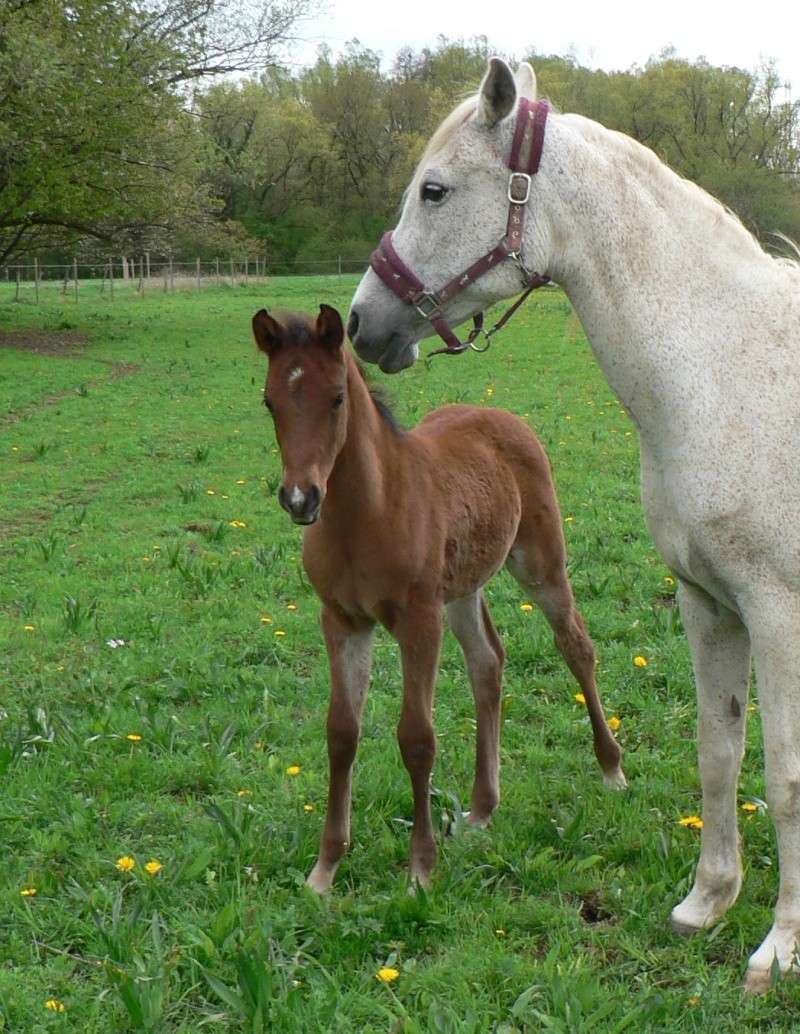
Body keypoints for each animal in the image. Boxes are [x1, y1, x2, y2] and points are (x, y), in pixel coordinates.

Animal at [252, 301, 628, 893]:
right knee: (487, 664)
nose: (299, 498)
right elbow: (341, 733)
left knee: (576, 646)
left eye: (337, 397)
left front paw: (420, 869)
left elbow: (417, 738)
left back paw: (611, 767)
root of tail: (497, 415)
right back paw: (482, 806)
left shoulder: (418, 620)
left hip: (539, 563)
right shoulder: (342, 620)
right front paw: (325, 868)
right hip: (463, 587)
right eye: (270, 401)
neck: (366, 513)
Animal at [349, 58, 800, 992]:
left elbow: (782, 777)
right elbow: (719, 749)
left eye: (435, 190)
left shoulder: (778, 612)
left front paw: (779, 946)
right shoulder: (708, 602)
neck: (725, 368)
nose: (361, 321)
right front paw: (708, 902)